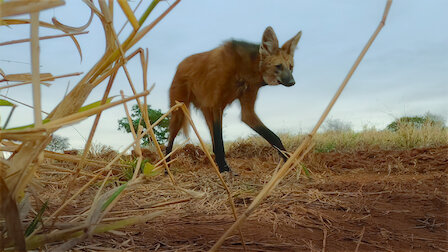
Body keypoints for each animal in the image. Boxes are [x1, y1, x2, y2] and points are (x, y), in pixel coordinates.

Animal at [166, 26, 302, 173]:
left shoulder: (246, 109)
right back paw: (166, 169)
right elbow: (220, 142)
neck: (243, 70)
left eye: (291, 67)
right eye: (278, 66)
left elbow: (274, 137)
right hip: (179, 111)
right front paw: (224, 171)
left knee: (212, 141)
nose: (292, 82)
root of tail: (180, 64)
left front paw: (290, 163)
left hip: (206, 110)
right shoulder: (217, 105)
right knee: (169, 141)